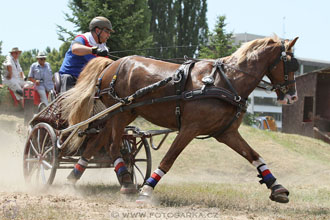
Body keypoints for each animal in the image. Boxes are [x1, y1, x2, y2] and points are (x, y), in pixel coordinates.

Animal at [61, 35, 300, 203]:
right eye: (291, 64)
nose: (293, 97)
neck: (225, 81)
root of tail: (110, 64)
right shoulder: (189, 129)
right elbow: (168, 160)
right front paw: (147, 190)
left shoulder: (226, 132)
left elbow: (253, 155)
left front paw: (276, 187)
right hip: (120, 112)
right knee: (112, 146)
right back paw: (126, 182)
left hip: (123, 112)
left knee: (96, 143)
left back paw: (74, 177)